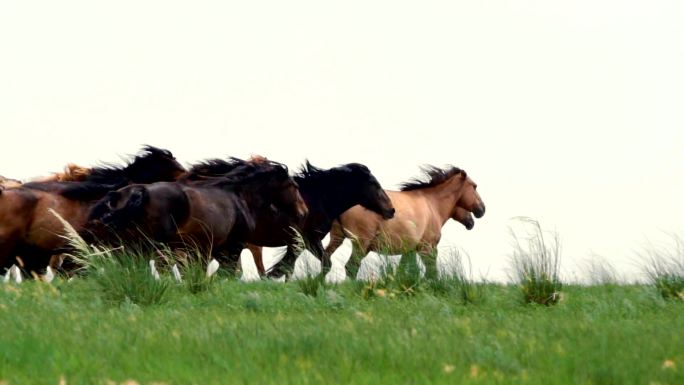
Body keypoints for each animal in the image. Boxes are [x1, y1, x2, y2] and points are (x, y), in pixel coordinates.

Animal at [244, 160, 396, 278]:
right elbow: (324, 263)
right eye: (373, 183)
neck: (316, 200)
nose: (391, 210)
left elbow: (289, 267)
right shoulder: (309, 240)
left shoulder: (300, 243)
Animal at [322, 166, 486, 278]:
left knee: (326, 261)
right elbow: (431, 271)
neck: (432, 204)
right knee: (350, 267)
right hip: (360, 243)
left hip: (337, 237)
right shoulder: (428, 248)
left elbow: (403, 271)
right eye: (474, 186)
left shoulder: (410, 250)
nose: (482, 210)